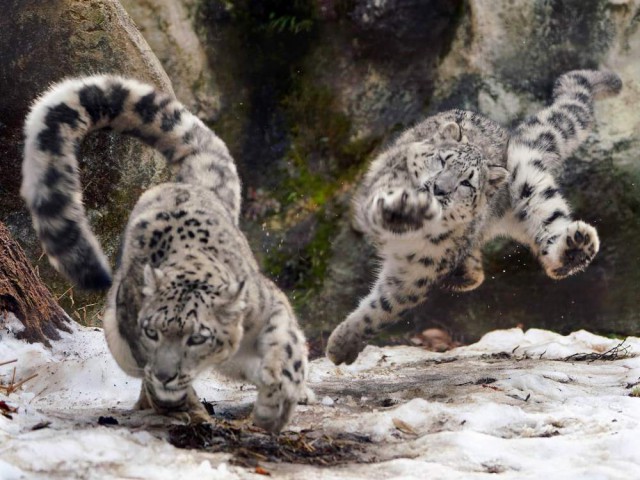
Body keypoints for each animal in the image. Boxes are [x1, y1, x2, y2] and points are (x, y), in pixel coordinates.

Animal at [20, 74, 310, 432]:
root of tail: (188, 184)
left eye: (197, 337)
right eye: (151, 332)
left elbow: (286, 343)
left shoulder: (268, 303)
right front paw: (182, 409)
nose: (165, 374)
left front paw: (276, 404)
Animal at [328, 69, 624, 366]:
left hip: (530, 183)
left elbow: (383, 308)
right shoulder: (384, 194)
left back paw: (575, 247)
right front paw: (341, 347)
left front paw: (342, 346)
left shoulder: (417, 270)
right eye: (442, 160)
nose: (439, 188)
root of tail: (507, 138)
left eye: (467, 183)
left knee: (549, 224)